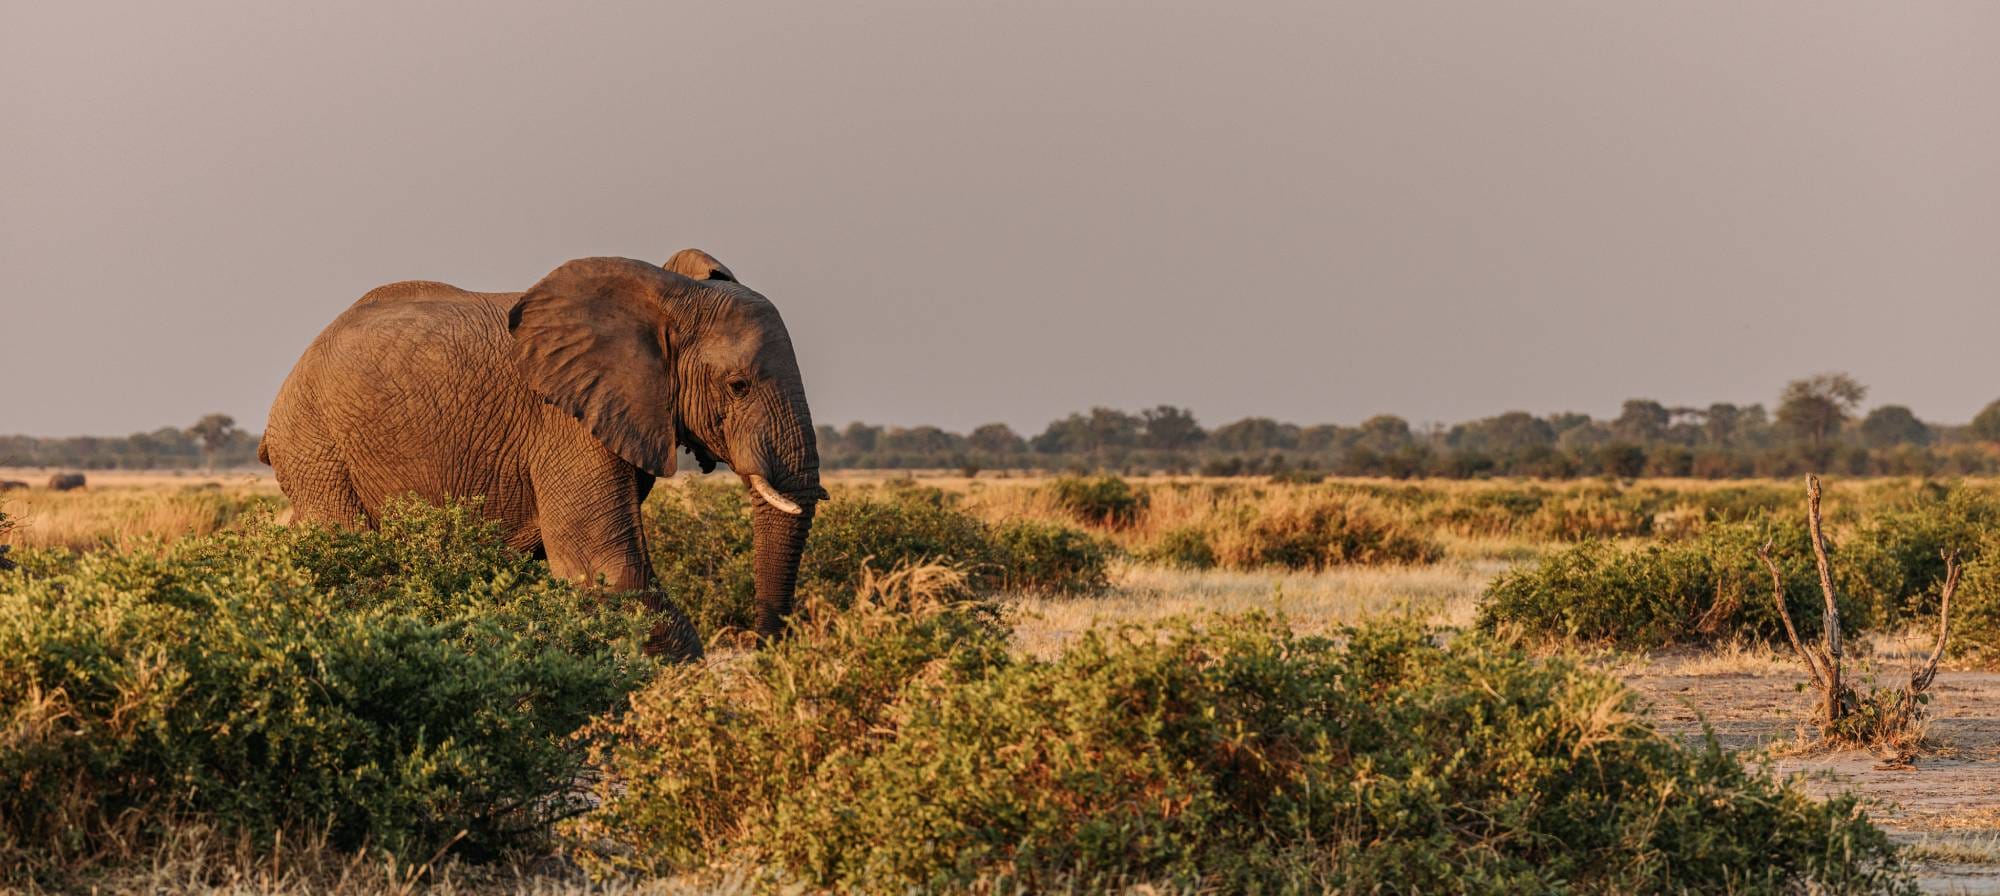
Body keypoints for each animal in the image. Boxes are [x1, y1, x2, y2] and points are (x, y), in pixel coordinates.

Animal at [260, 250, 824, 660]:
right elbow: (606, 568)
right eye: (738, 385)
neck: (668, 294)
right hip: (316, 444)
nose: (764, 649)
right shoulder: (565, 424)